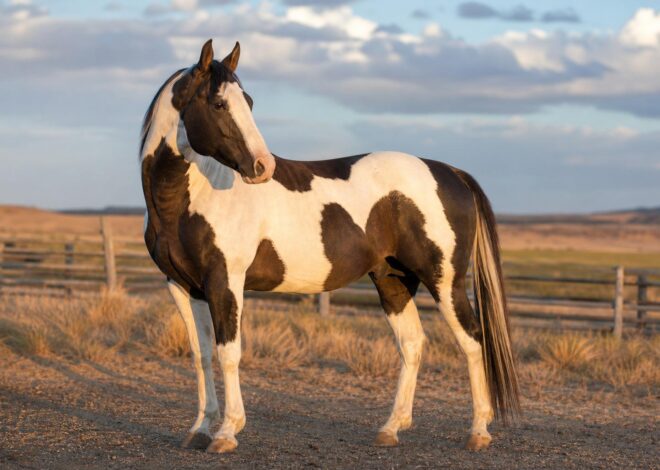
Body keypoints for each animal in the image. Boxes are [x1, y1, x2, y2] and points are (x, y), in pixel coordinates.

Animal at [140, 39, 520, 454]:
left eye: (249, 102)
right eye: (219, 103)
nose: (263, 167)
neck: (191, 198)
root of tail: (450, 172)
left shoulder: (226, 282)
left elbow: (229, 355)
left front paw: (226, 432)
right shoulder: (185, 287)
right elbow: (202, 355)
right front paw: (201, 428)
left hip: (445, 281)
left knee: (472, 341)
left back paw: (478, 431)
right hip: (392, 279)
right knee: (412, 343)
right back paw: (391, 428)